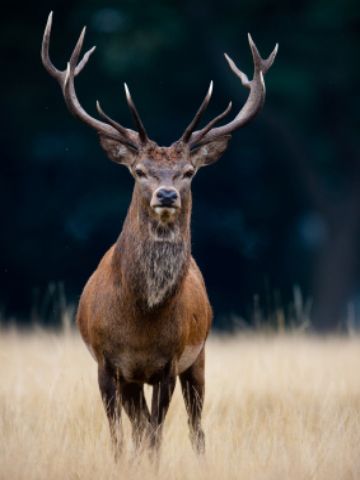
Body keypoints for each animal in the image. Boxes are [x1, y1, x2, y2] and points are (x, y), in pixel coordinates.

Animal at [42, 10, 278, 454]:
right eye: (139, 171)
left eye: (188, 172)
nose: (166, 194)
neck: (141, 319)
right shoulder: (107, 364)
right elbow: (121, 438)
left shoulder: (169, 363)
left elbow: (155, 437)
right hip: (136, 380)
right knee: (138, 427)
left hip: (198, 358)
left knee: (195, 427)